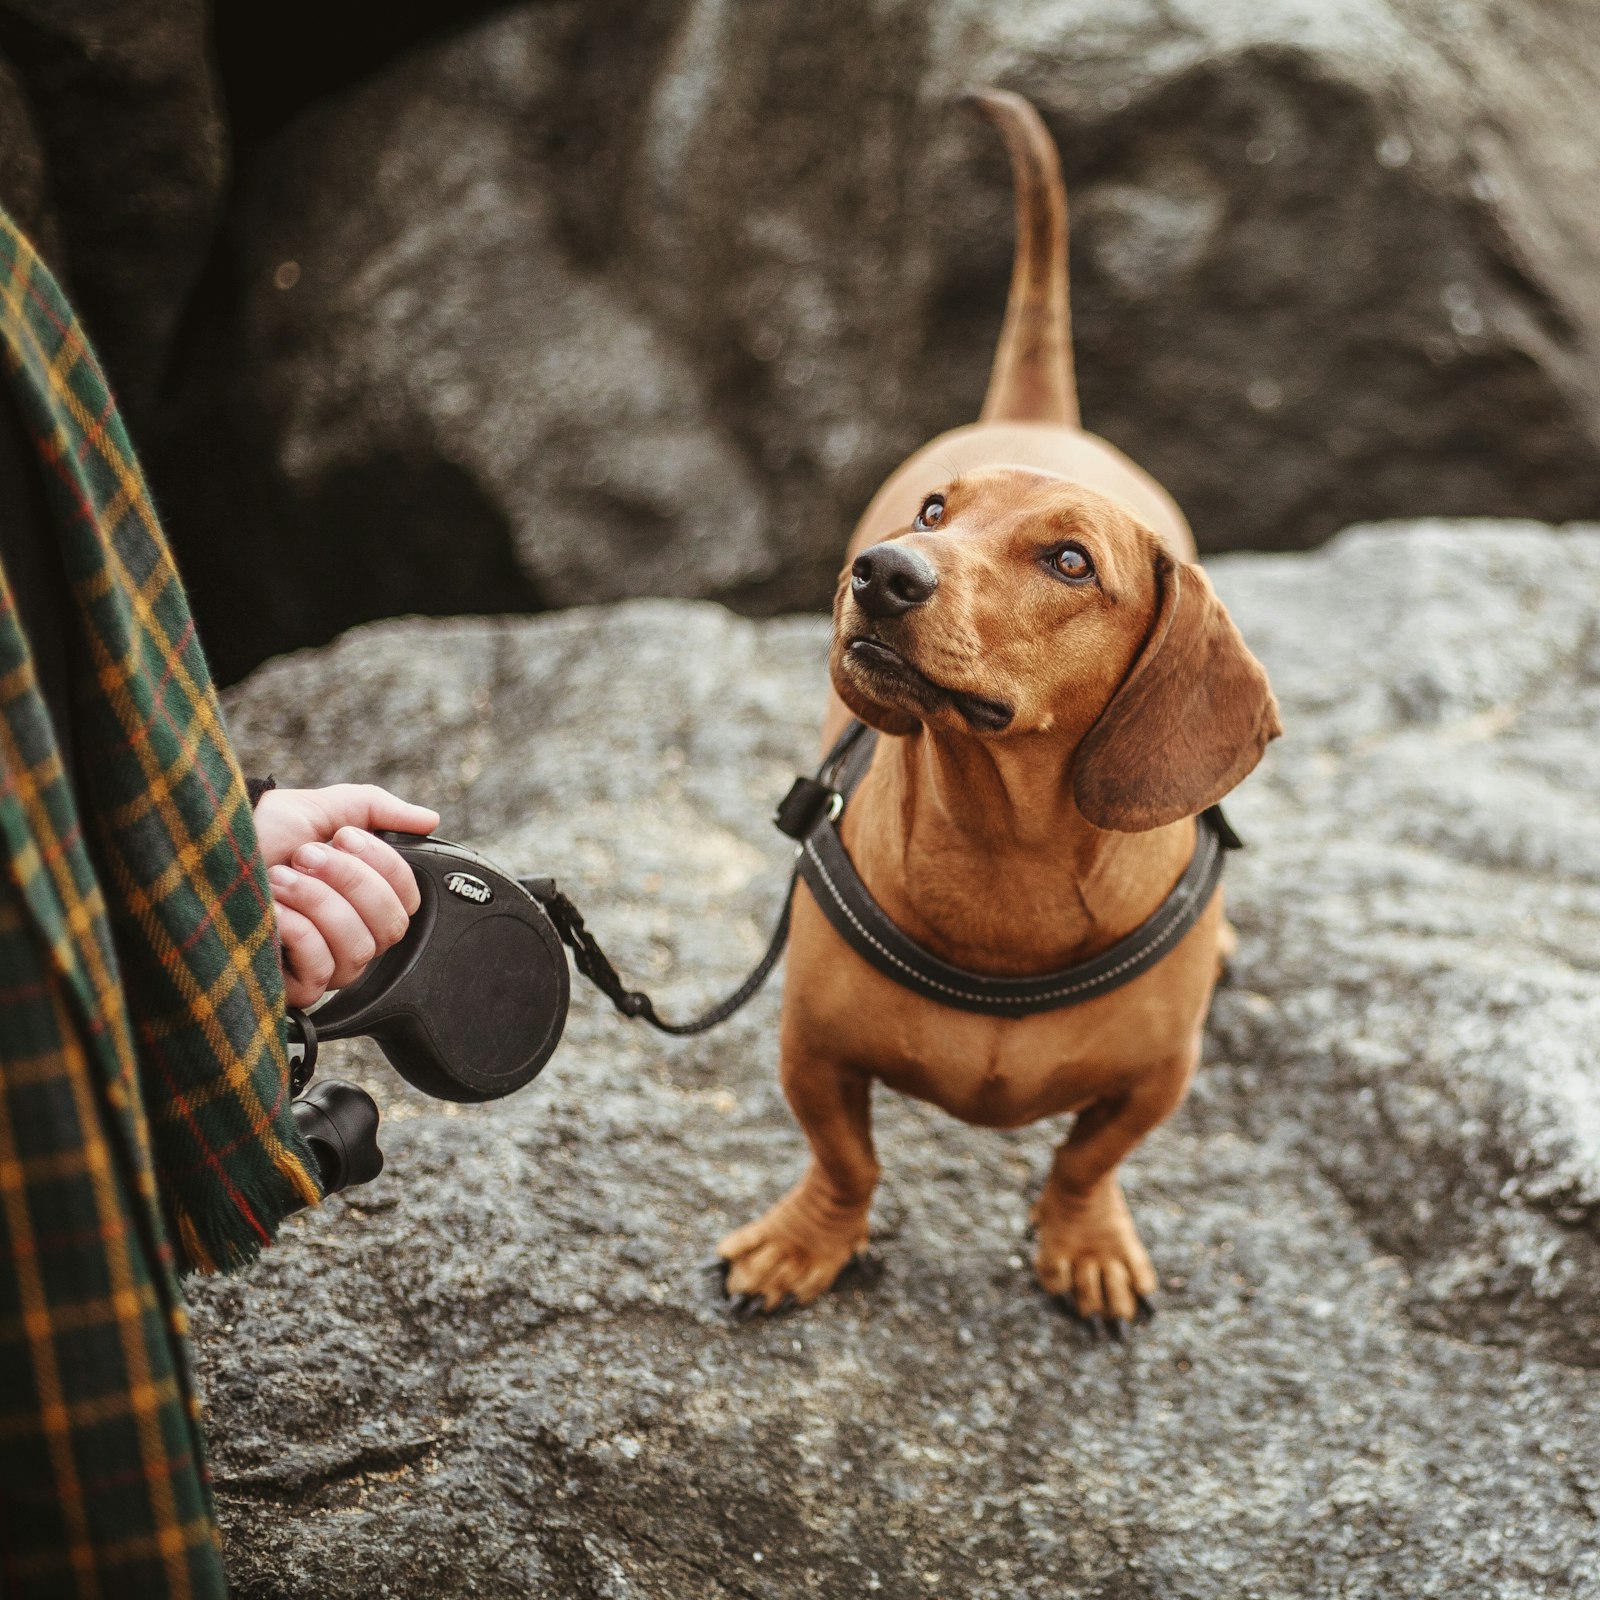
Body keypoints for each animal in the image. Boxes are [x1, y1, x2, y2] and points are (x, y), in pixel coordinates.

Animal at [720, 93, 1280, 1331]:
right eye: (935, 513)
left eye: (1069, 560)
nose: (880, 573)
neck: (1001, 853)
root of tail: (1042, 415)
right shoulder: (812, 1050)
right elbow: (846, 1160)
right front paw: (804, 1241)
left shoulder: (1151, 1082)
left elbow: (1086, 1159)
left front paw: (1086, 1242)